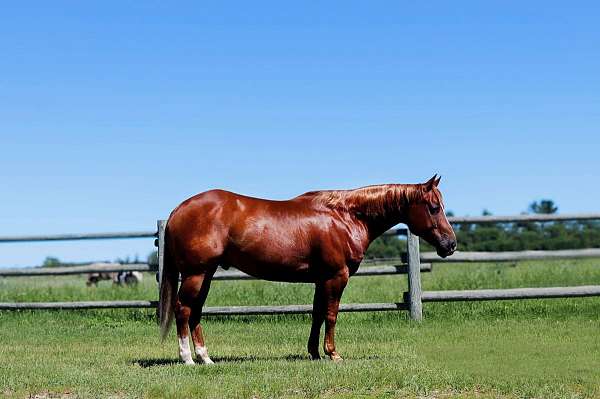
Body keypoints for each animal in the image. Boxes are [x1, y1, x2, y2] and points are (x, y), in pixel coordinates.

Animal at [159, 176, 454, 366]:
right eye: (433, 207)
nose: (450, 244)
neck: (345, 216)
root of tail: (178, 210)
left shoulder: (321, 280)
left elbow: (317, 315)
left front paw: (314, 353)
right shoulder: (337, 276)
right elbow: (332, 315)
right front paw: (333, 354)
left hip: (206, 274)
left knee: (195, 312)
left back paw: (206, 358)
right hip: (196, 274)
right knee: (183, 310)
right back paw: (187, 359)